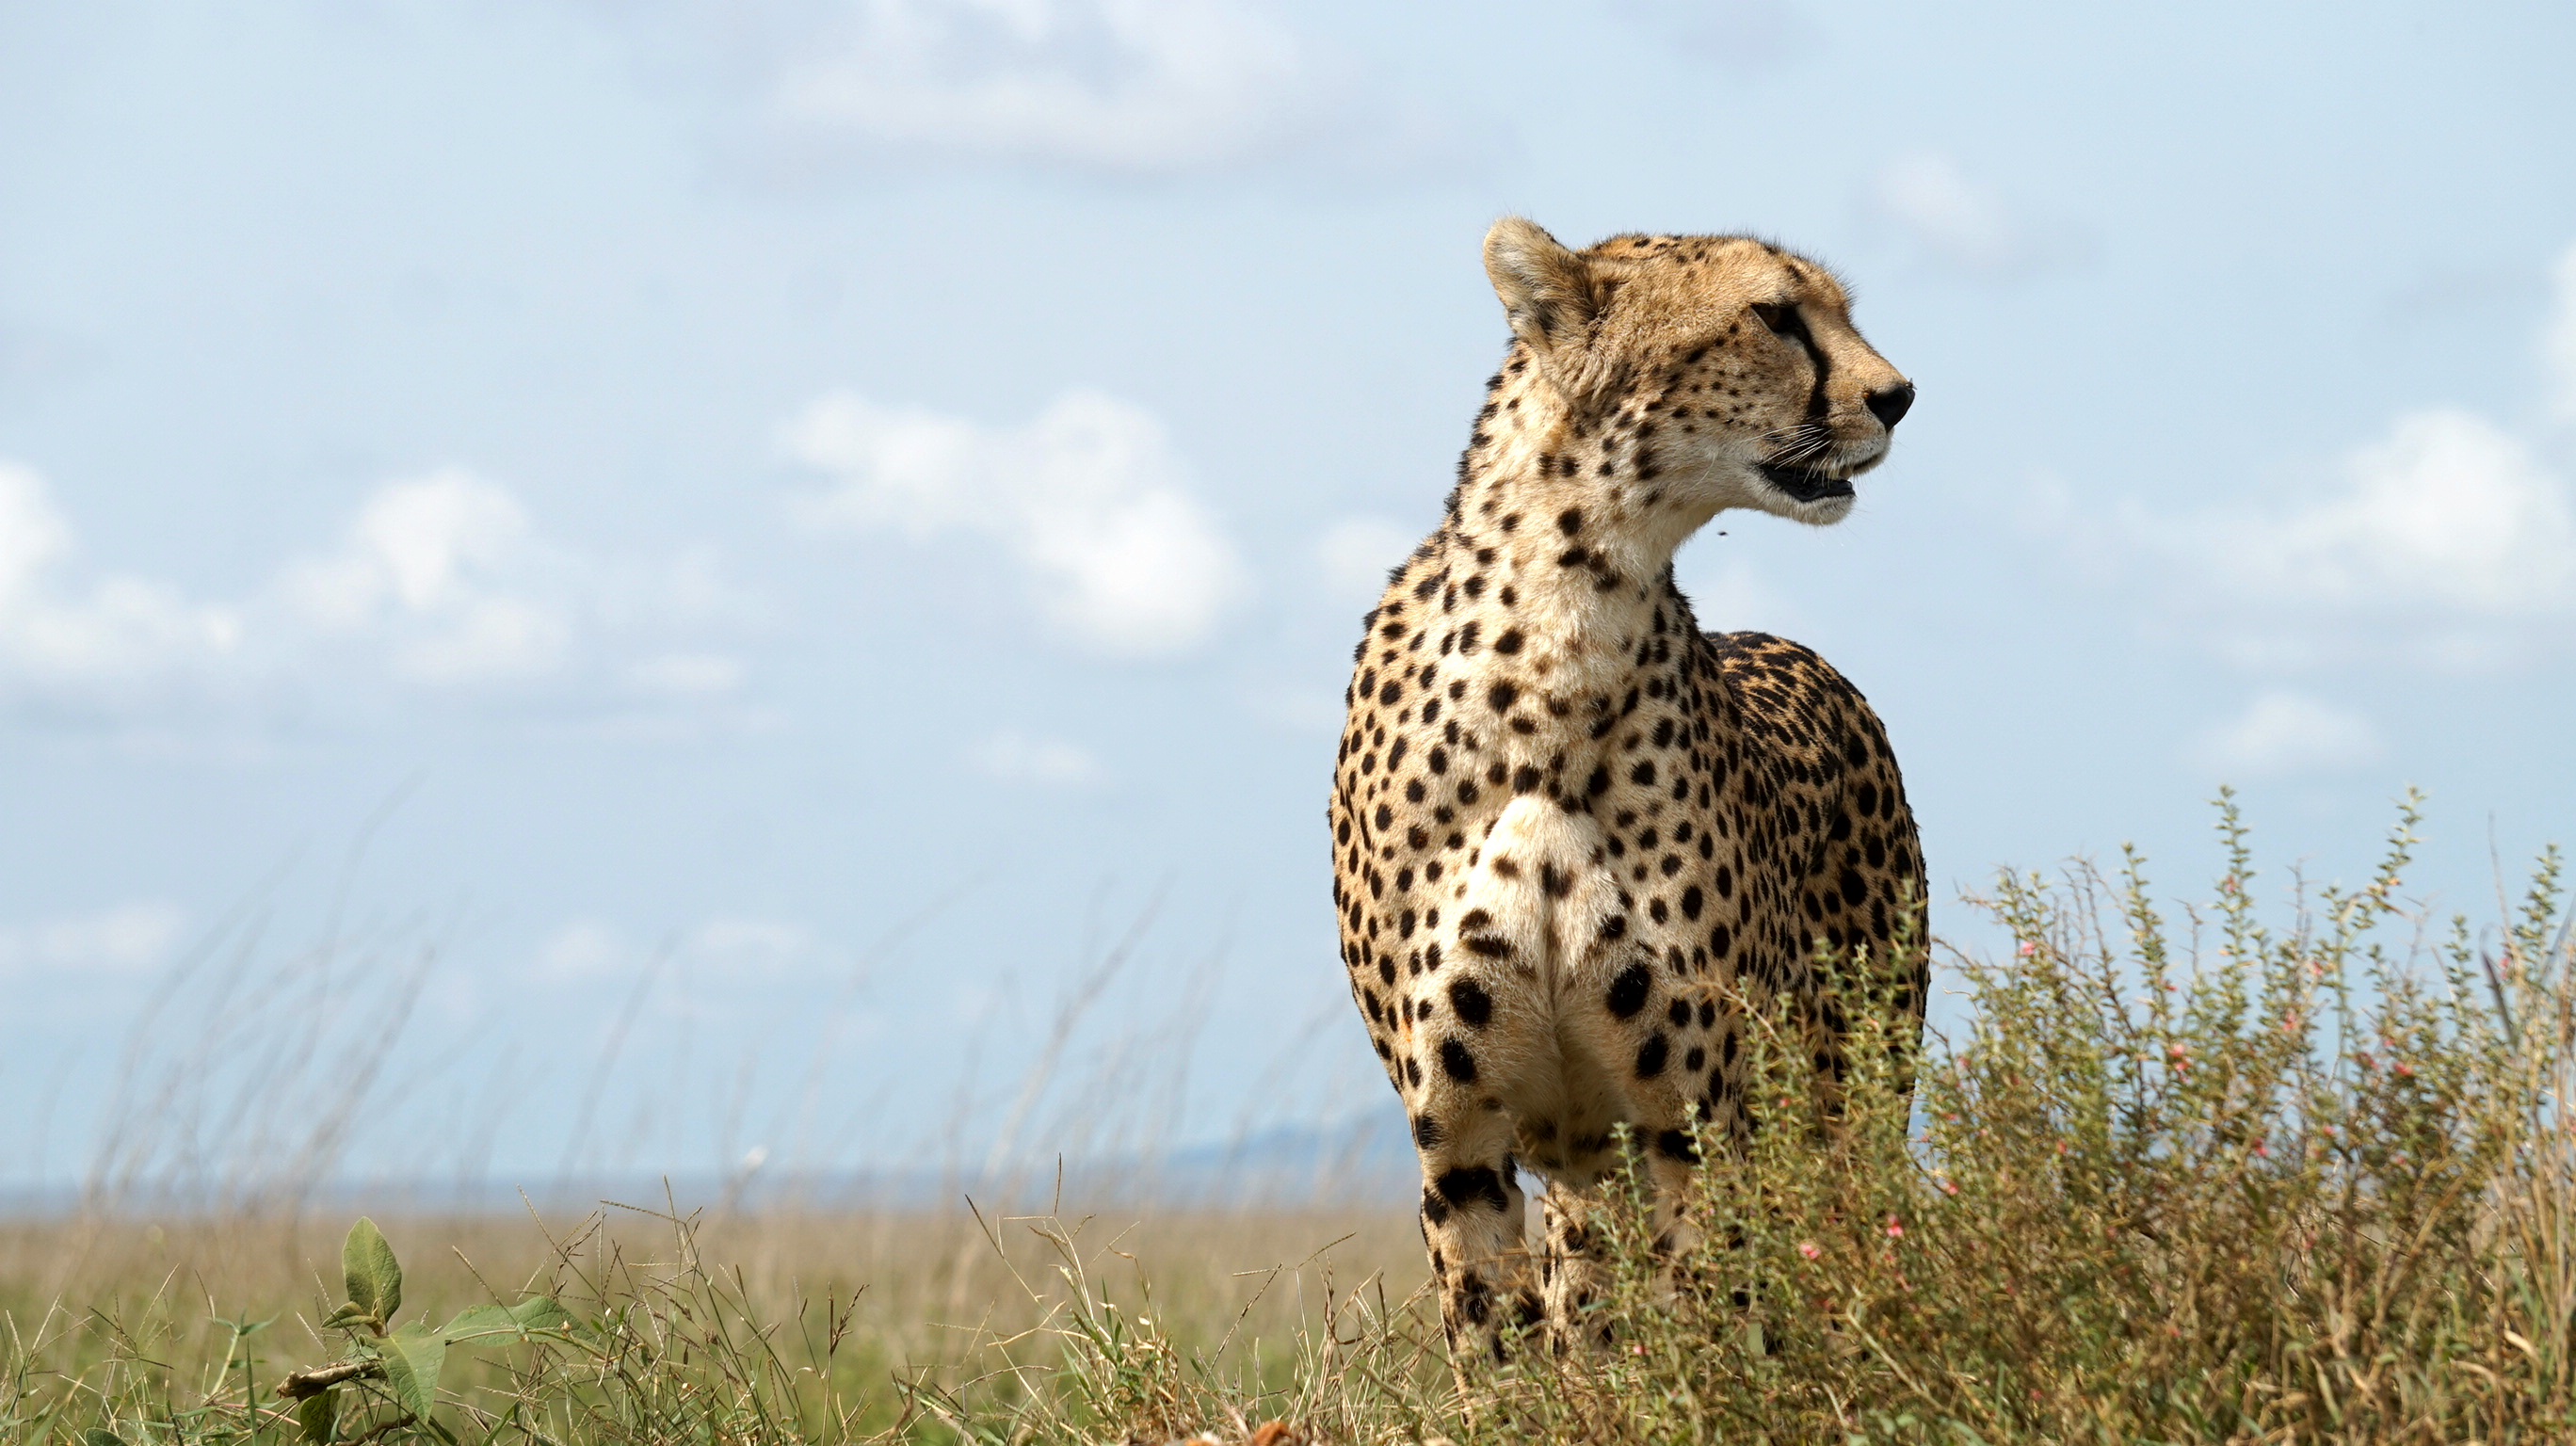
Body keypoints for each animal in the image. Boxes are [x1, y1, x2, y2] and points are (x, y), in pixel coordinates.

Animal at [1326, 217, 1929, 1365]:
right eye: (1775, 314)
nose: (1899, 395)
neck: (1561, 635)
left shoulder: (1692, 1119)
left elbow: (1709, 1333)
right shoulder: (1460, 1130)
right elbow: (1497, 1342)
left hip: (1850, 1104)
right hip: (1584, 1160)